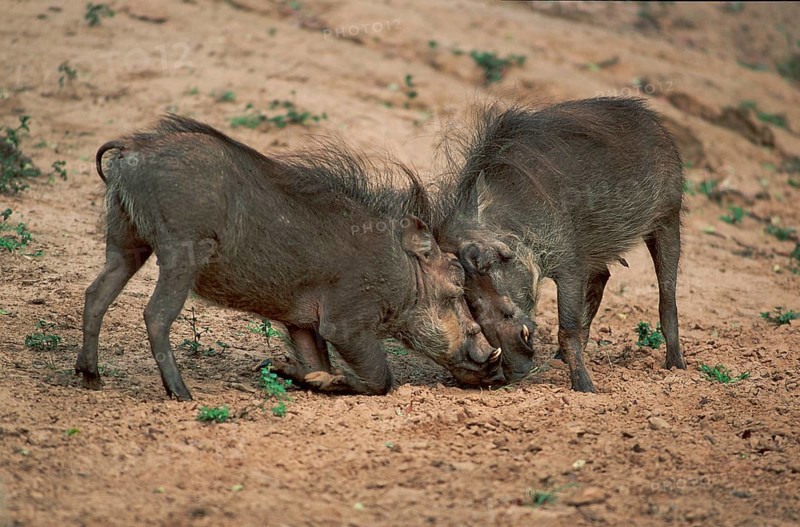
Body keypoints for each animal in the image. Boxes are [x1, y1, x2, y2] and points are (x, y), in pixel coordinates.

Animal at [76, 115, 502, 401]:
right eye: (454, 286)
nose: (496, 372)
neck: (402, 273)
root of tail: (132, 149)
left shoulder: (302, 324)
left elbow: (315, 363)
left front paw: (283, 370)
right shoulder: (346, 323)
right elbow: (379, 378)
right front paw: (324, 381)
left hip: (125, 243)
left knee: (95, 296)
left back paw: (90, 377)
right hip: (181, 252)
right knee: (156, 315)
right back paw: (181, 393)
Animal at [432, 97, 687, 392]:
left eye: (483, 260)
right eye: (463, 291)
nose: (514, 370)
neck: (515, 218)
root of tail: (654, 122)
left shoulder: (569, 266)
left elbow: (567, 329)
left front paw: (585, 387)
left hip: (667, 219)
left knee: (667, 297)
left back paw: (675, 365)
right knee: (602, 278)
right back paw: (559, 359)